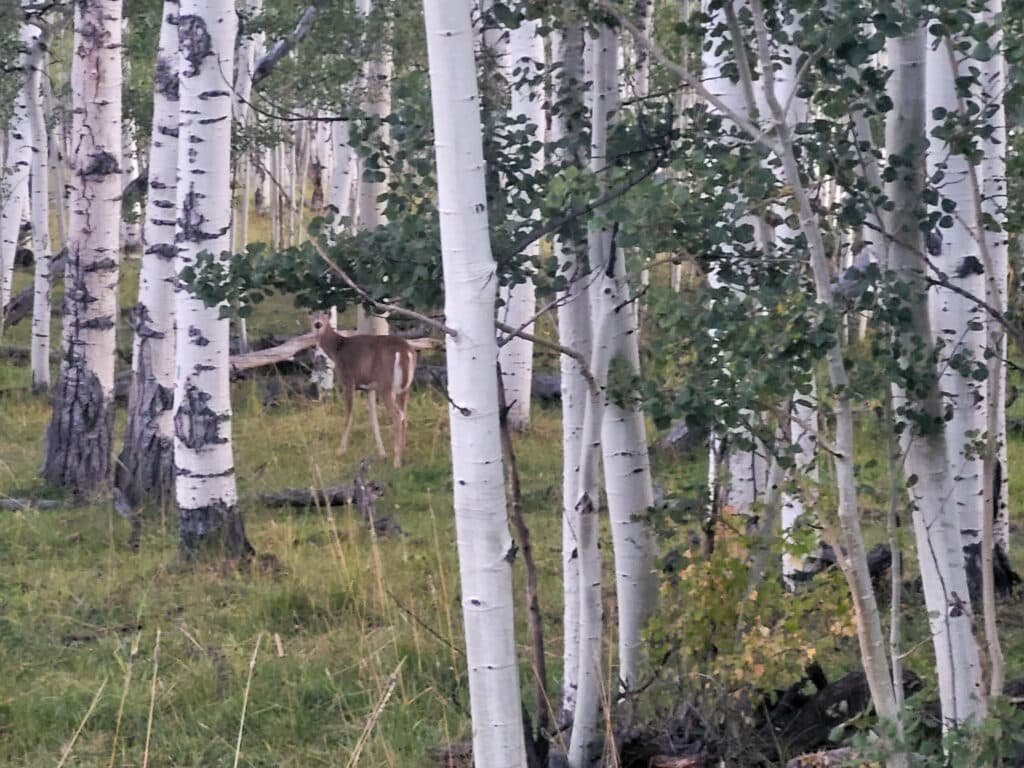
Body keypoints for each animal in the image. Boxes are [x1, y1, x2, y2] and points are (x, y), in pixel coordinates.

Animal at [310, 311, 437, 468]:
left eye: (323, 316)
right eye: (312, 315)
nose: (317, 324)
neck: (337, 349)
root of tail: (405, 350)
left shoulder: (348, 381)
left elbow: (348, 416)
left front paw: (340, 451)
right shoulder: (369, 388)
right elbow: (373, 419)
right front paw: (382, 453)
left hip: (386, 385)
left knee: (397, 415)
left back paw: (396, 461)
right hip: (404, 388)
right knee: (404, 416)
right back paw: (403, 453)